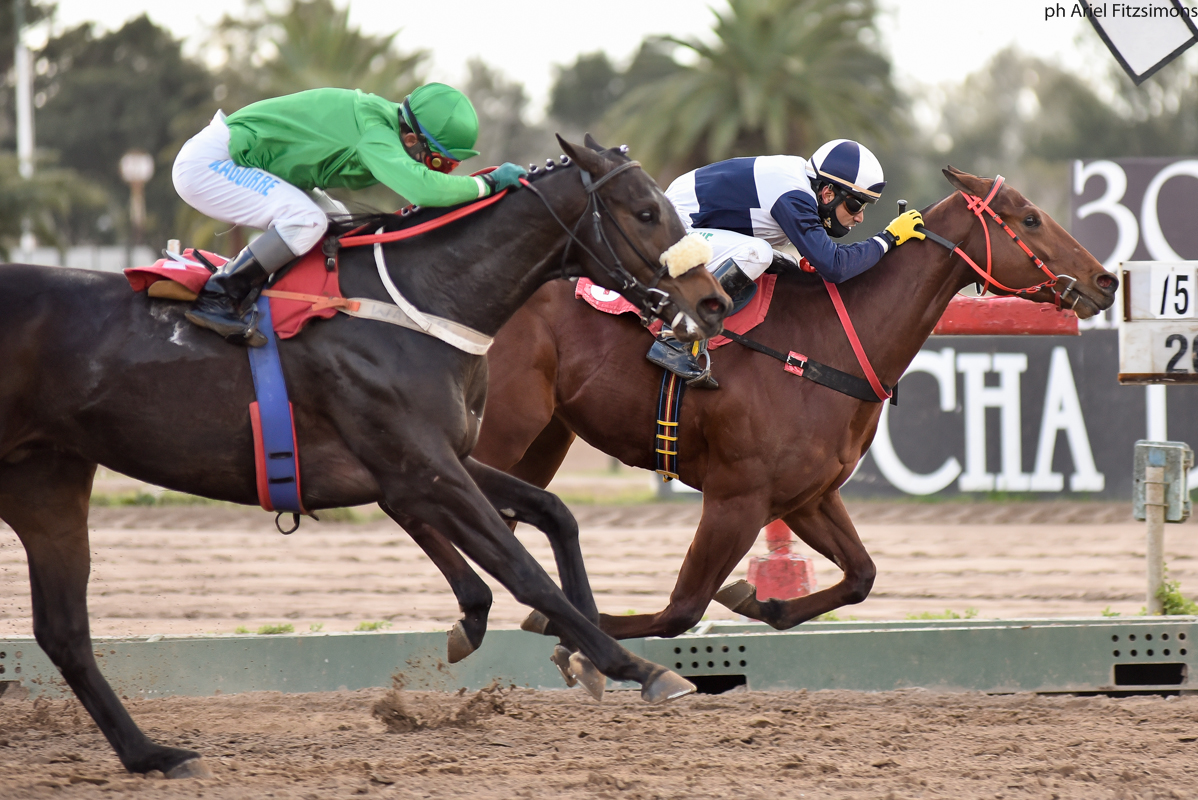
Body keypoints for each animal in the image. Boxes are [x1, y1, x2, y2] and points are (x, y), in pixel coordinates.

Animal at [0, 136, 732, 778]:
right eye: (646, 211)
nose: (714, 301)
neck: (418, 305)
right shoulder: (421, 467)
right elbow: (523, 570)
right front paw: (638, 667)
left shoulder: (442, 458)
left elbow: (555, 514)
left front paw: (579, 653)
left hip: (47, 480)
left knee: (64, 631)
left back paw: (152, 754)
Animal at [405, 167, 1119, 646]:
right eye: (1030, 218)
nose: (1107, 279)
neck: (830, 340)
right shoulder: (737, 496)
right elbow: (681, 610)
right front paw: (571, 626)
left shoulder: (804, 494)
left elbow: (861, 575)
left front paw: (762, 603)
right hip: (500, 431)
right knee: (423, 500)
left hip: (543, 438)